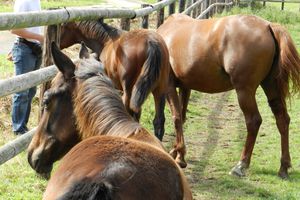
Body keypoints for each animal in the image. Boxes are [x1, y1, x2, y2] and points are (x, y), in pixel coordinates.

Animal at [157, 13, 300, 177]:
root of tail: (268, 26)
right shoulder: (185, 86)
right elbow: (182, 116)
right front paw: (176, 152)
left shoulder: (169, 86)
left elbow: (176, 117)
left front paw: (180, 156)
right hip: (271, 86)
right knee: (282, 119)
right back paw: (283, 167)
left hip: (244, 91)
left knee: (254, 121)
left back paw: (241, 164)